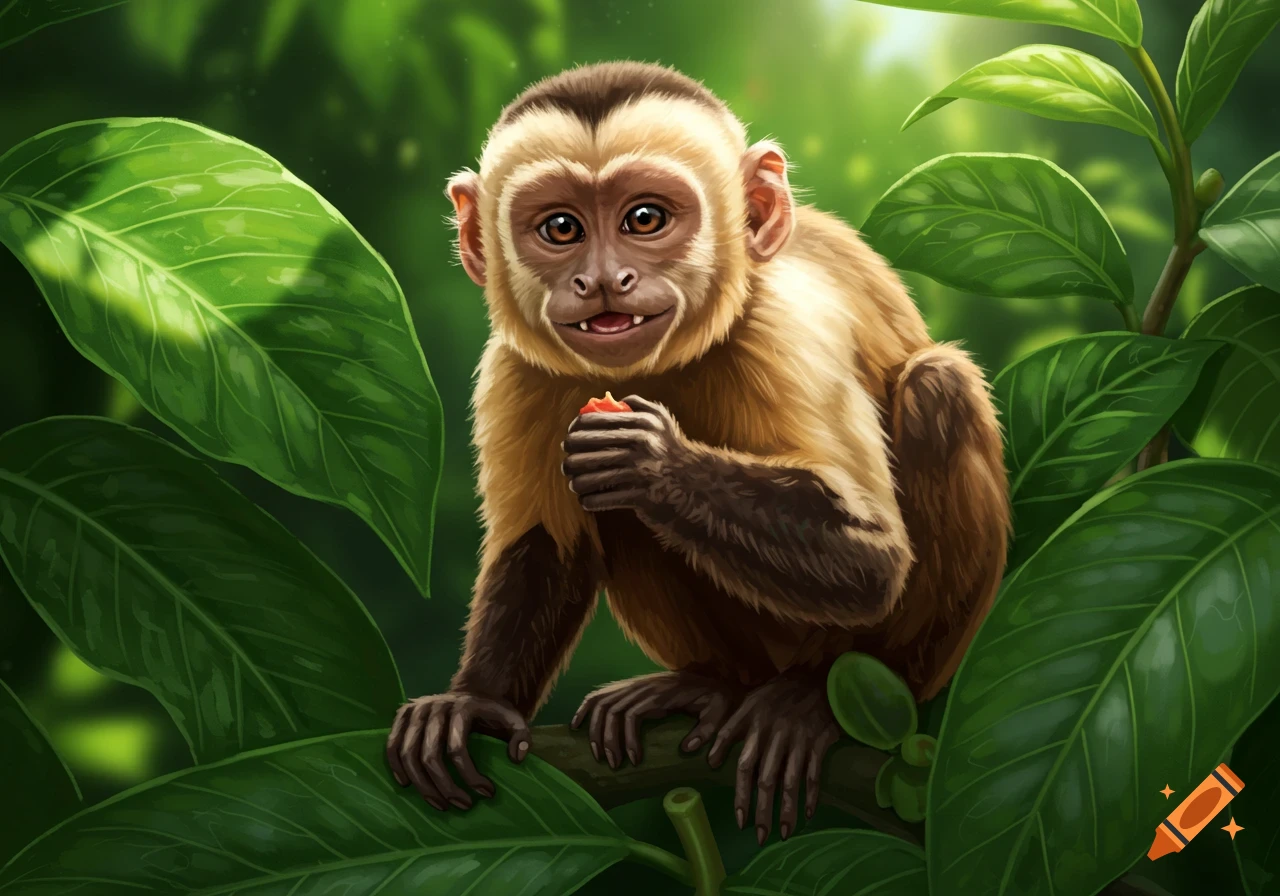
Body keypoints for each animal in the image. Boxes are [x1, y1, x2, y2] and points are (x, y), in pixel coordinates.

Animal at [385, 61, 1010, 845]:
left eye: (645, 219)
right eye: (561, 228)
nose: (602, 281)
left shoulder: (785, 324)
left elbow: (873, 558)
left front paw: (653, 465)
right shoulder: (516, 368)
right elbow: (545, 545)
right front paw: (477, 704)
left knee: (939, 387)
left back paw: (812, 700)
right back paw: (710, 684)